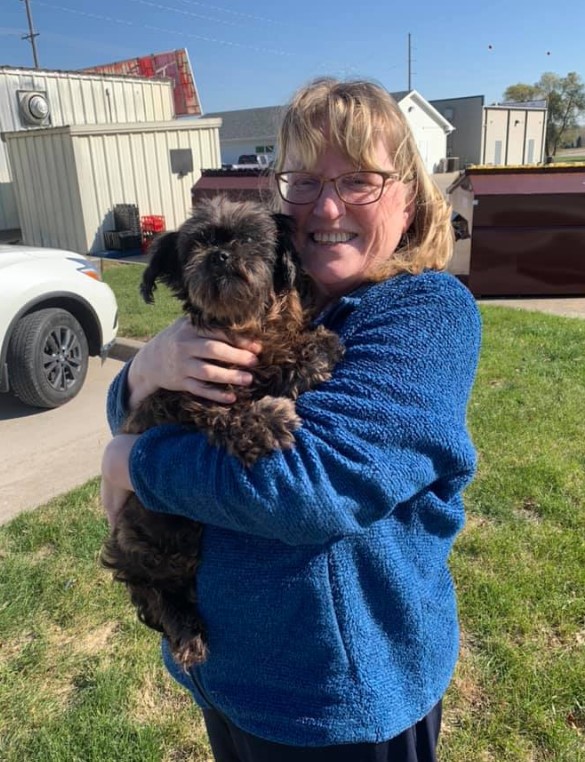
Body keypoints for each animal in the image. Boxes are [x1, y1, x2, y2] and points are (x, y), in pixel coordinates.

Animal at [101, 194, 342, 664]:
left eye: (248, 238)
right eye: (196, 244)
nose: (220, 256)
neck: (240, 323)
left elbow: (287, 358)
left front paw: (315, 349)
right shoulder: (185, 393)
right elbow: (226, 414)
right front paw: (266, 421)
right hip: (143, 545)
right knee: (152, 589)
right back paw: (186, 628)